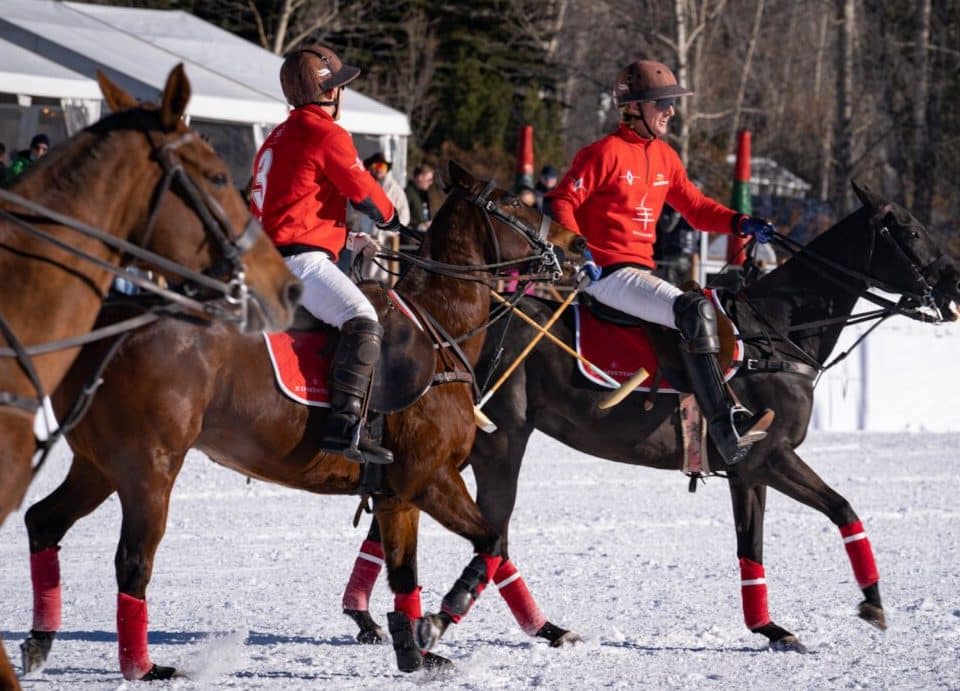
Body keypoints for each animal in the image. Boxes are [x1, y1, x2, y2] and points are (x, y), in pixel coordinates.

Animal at [16, 162, 584, 680]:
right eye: (512, 203)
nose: (577, 246)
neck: (442, 326)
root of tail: (108, 323)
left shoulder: (398, 492)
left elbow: (408, 573)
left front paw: (415, 650)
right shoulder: (429, 477)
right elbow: (489, 541)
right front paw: (439, 623)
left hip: (99, 463)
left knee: (43, 520)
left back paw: (40, 643)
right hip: (149, 467)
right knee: (132, 561)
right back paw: (144, 668)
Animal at [340, 178, 960, 656]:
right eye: (908, 230)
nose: (953, 285)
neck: (778, 331)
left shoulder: (747, 470)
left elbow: (755, 547)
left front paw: (773, 628)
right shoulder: (770, 453)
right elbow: (842, 508)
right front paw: (872, 603)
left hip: (476, 443)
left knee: (421, 520)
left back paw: (391, 616)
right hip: (499, 441)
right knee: (488, 532)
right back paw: (450, 619)